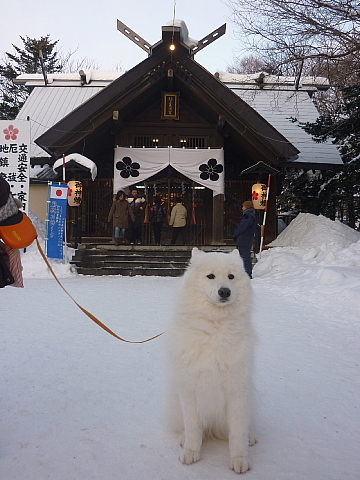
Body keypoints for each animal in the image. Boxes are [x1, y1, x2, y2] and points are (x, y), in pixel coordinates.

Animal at [166, 249, 256, 474]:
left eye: (231, 277)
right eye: (210, 276)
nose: (225, 291)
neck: (215, 328)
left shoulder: (237, 390)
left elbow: (237, 432)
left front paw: (239, 460)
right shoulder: (189, 390)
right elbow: (193, 427)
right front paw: (191, 453)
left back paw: (250, 437)